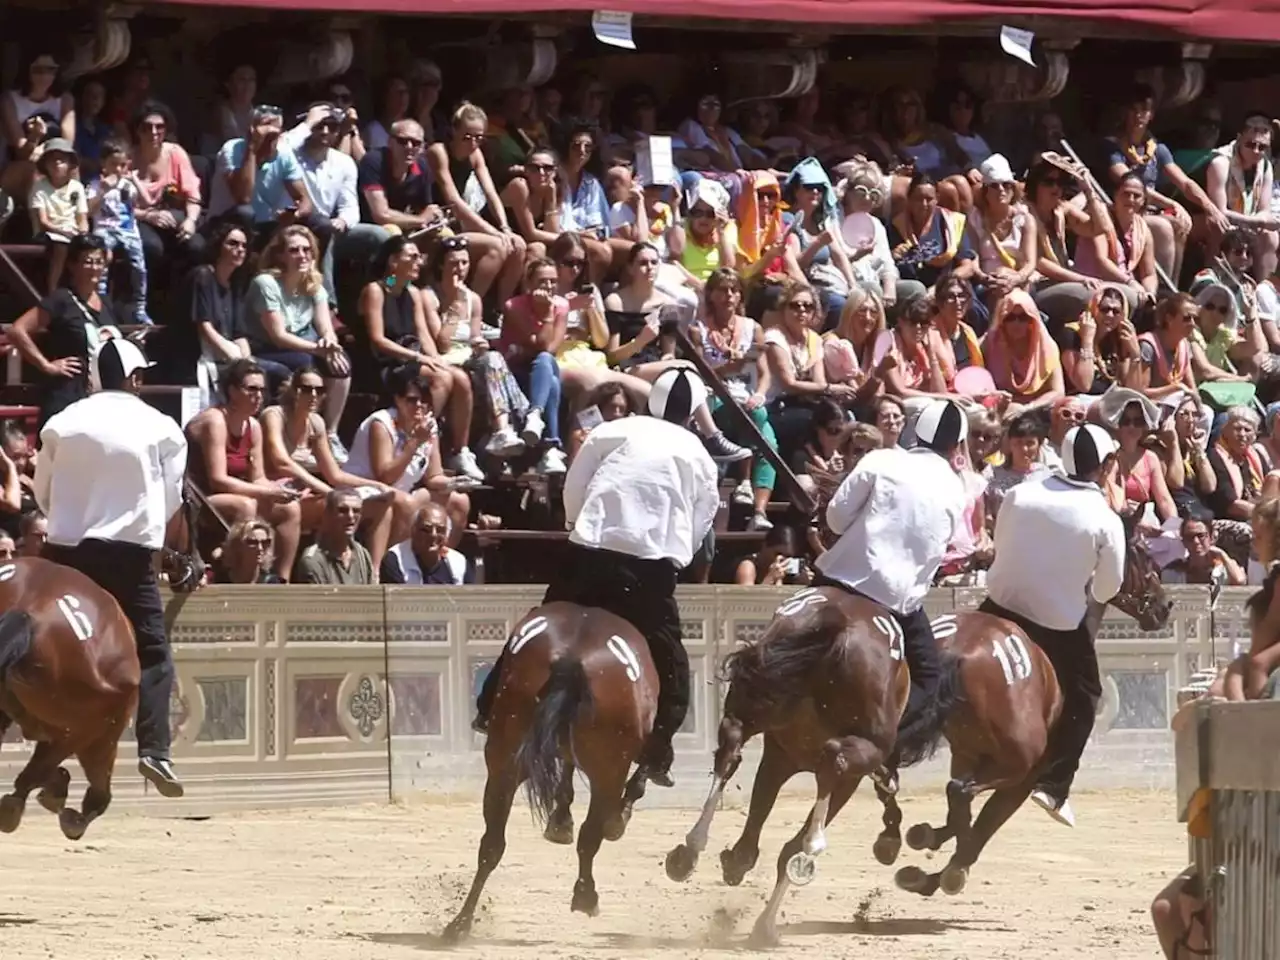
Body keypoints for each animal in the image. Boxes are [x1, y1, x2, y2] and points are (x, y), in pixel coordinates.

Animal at [442, 604, 660, 942]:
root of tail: (570, 658)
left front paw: (560, 820)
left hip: (505, 763)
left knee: (491, 844)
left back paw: (461, 923)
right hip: (607, 773)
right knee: (590, 835)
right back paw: (586, 895)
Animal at [670, 586, 962, 947]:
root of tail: (834, 622)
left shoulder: (779, 755)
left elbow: (755, 828)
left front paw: (736, 864)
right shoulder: (847, 779)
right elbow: (791, 842)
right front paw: (765, 925)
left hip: (751, 706)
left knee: (730, 748)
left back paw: (688, 851)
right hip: (856, 751)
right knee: (832, 761)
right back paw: (811, 850)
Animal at [880, 519, 1172, 901]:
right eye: (1142, 556)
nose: (1165, 605)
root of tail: (961, 649)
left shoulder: (968, 756)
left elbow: (961, 815)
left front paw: (927, 842)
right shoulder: (1020, 780)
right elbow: (982, 824)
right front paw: (945, 871)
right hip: (1021, 763)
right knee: (960, 794)